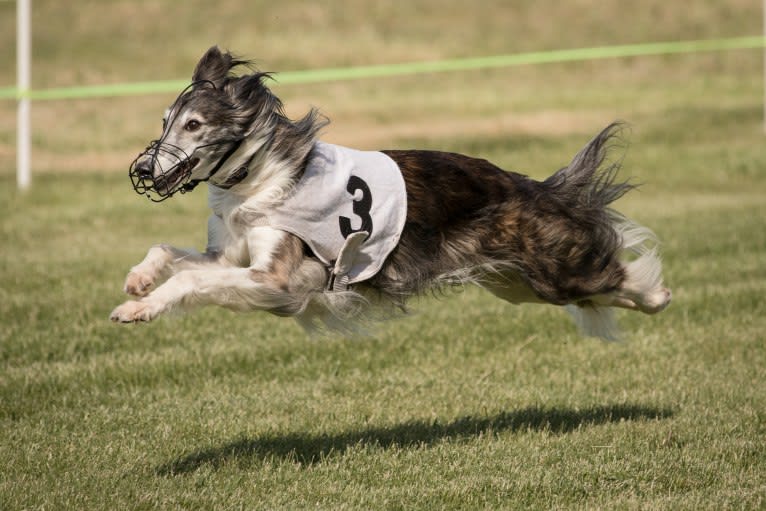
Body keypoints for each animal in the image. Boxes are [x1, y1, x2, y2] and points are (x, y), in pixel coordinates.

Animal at [109, 45, 672, 340]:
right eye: (164, 121)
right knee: (604, 288)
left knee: (614, 274)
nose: (144, 169)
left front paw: (137, 309)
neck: (258, 181)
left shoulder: (279, 281)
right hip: (514, 282)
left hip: (548, 270)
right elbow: (170, 253)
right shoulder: (230, 260)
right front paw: (138, 282)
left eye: (194, 125)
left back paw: (659, 295)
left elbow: (190, 281)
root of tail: (527, 185)